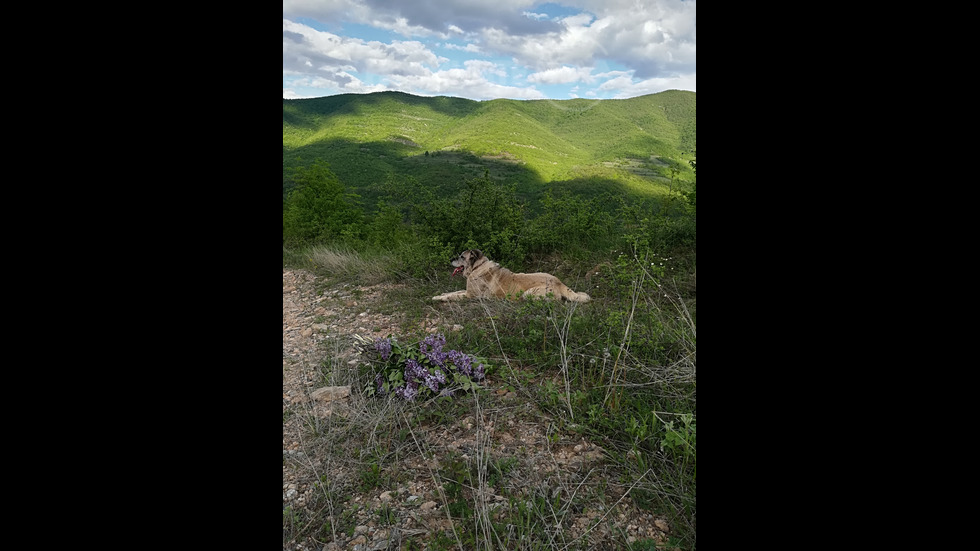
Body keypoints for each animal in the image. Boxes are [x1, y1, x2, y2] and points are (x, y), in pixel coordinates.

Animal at [434, 251, 588, 304]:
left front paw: (439, 298)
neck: (477, 267)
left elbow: (453, 295)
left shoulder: (470, 295)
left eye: (461, 256)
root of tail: (558, 281)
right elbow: (454, 292)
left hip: (528, 293)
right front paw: (440, 294)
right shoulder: (467, 291)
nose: (450, 259)